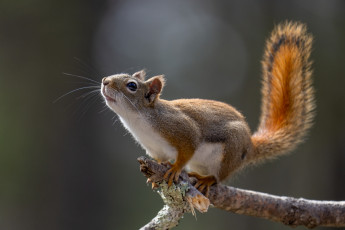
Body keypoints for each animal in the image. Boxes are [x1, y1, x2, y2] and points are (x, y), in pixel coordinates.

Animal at [100, 21, 314, 196]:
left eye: (132, 86)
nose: (104, 81)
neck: (138, 121)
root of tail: (249, 145)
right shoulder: (155, 150)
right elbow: (161, 160)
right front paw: (158, 173)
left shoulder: (180, 128)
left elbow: (188, 147)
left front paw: (175, 169)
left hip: (230, 150)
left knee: (220, 177)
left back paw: (208, 179)